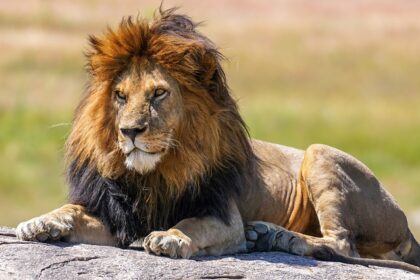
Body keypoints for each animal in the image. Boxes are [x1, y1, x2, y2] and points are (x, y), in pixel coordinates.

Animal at [15, 8, 420, 274]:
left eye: (158, 93)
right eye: (120, 96)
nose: (129, 132)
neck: (155, 174)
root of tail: (408, 227)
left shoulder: (225, 218)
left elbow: (193, 224)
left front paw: (170, 238)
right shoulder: (119, 220)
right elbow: (71, 210)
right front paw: (40, 223)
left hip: (320, 153)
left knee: (341, 244)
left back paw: (277, 238)